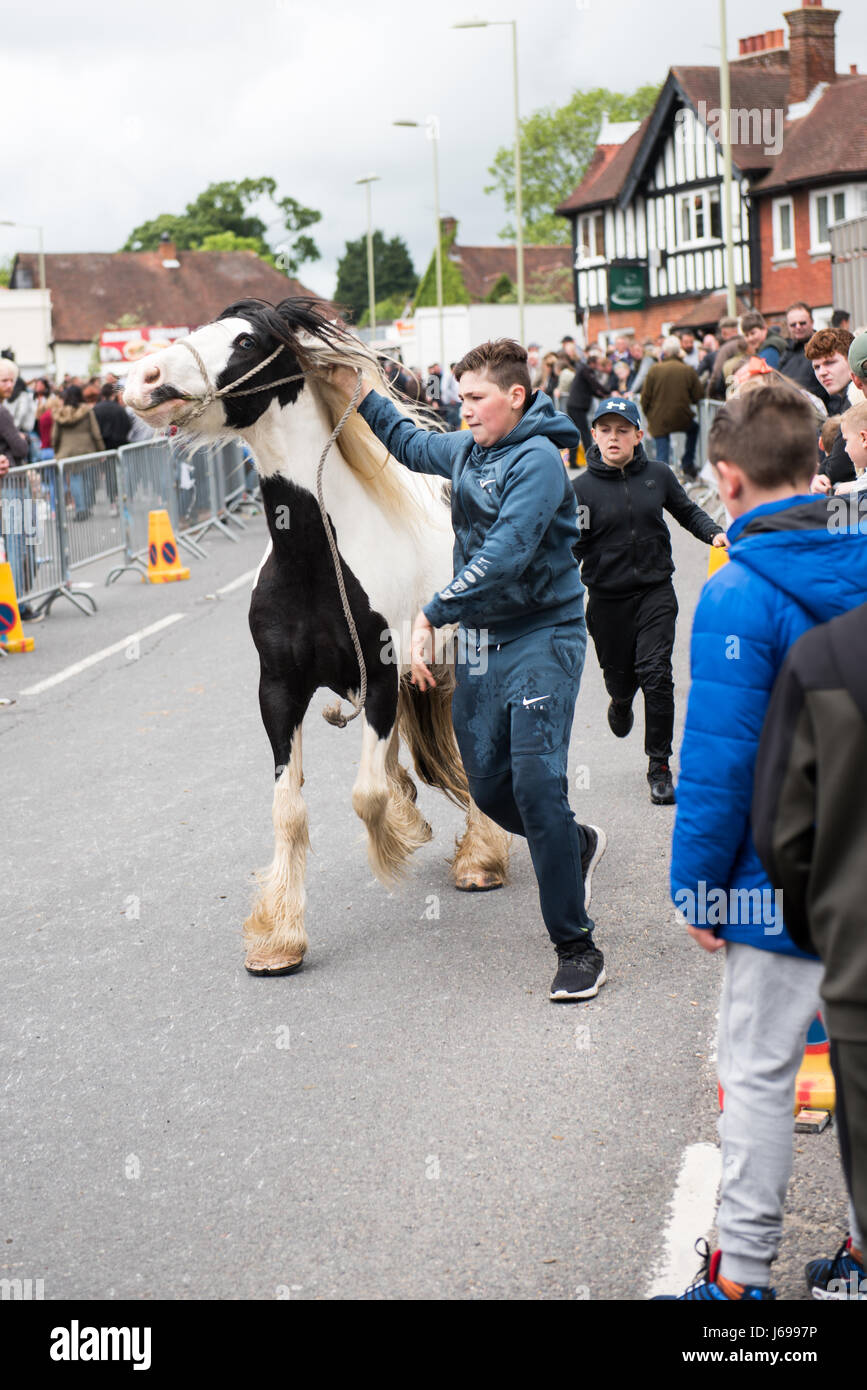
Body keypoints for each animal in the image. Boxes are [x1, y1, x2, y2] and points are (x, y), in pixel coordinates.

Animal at [125, 301, 511, 978]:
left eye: (245, 341)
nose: (144, 378)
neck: (312, 560)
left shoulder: (380, 678)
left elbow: (366, 796)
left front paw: (398, 840)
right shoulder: (279, 690)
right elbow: (291, 810)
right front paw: (278, 937)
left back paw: (480, 857)